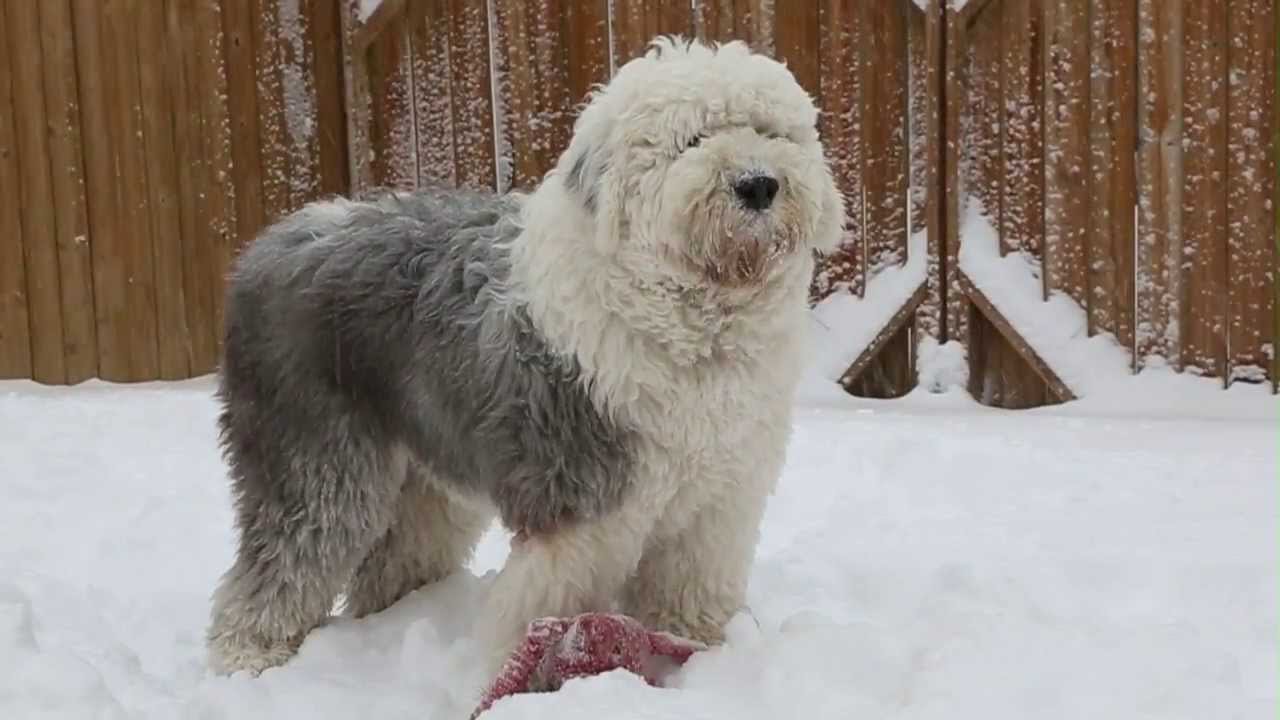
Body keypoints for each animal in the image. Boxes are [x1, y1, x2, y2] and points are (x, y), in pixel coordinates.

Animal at [204, 36, 844, 676]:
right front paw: (527, 667)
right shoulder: (581, 503)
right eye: (692, 139)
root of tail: (273, 242)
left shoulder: (716, 504)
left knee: (394, 559)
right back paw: (247, 654)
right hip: (315, 456)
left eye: (768, 131)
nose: (758, 184)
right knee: (285, 559)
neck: (684, 322)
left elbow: (691, 588)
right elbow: (547, 598)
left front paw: (696, 647)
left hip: (422, 477)